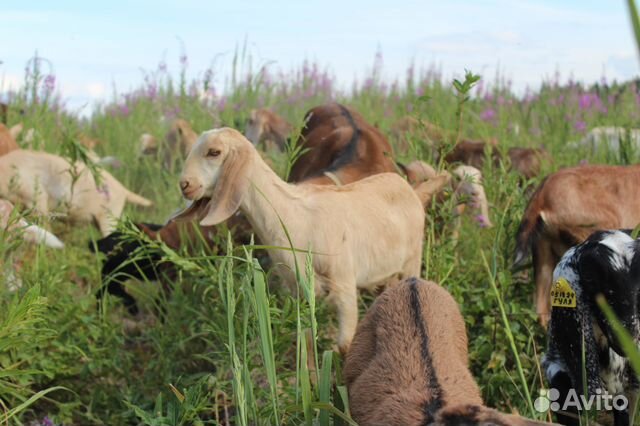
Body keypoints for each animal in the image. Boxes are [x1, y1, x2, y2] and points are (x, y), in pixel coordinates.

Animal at [174, 127, 444, 352]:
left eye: (214, 152)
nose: (185, 185)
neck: (294, 216)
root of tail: (413, 191)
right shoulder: (299, 292)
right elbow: (305, 341)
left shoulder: (344, 284)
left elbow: (345, 345)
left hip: (412, 259)